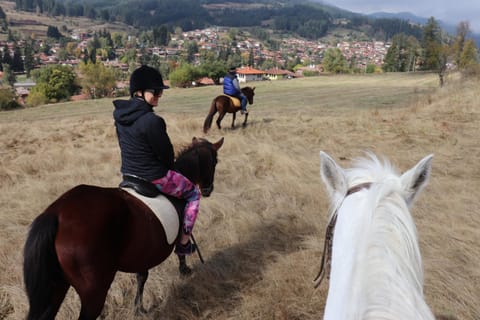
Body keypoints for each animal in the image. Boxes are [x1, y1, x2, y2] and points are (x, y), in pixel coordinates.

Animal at [23, 136, 225, 318]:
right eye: (215, 162)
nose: (208, 190)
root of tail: (57, 213)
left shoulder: (144, 251)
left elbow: (142, 276)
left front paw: (139, 308)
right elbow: (180, 249)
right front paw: (184, 270)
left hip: (56, 287)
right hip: (94, 291)